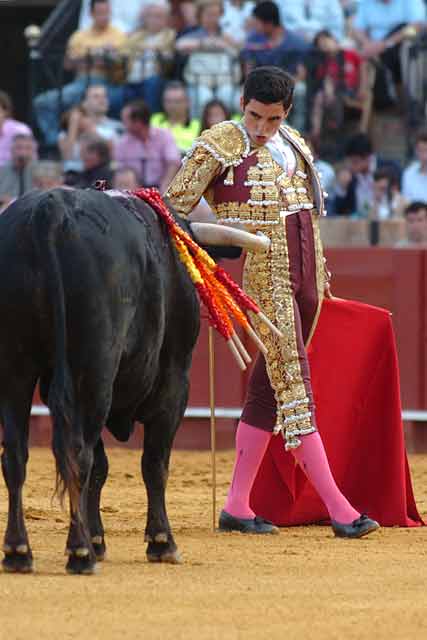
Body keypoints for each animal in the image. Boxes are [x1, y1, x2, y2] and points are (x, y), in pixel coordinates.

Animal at [0, 188, 202, 572]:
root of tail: (51, 209)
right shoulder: (175, 381)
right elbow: (154, 463)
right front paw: (161, 541)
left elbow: (102, 466)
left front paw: (98, 538)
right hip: (92, 370)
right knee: (77, 454)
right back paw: (79, 553)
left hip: (16, 366)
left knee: (16, 454)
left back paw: (19, 551)